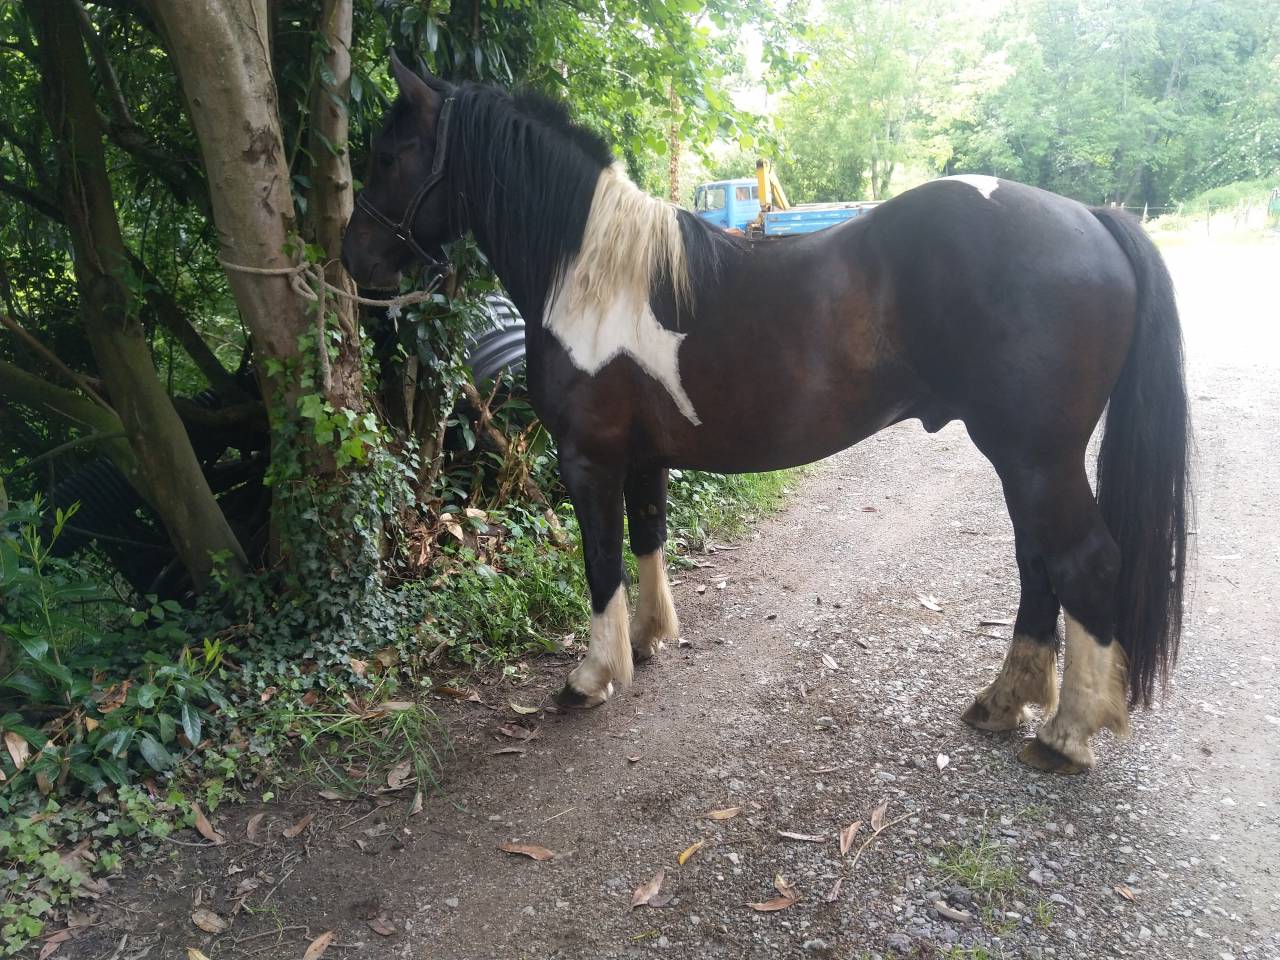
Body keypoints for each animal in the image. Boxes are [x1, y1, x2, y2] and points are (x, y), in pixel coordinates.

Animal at [342, 55, 1190, 775]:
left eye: (389, 155)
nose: (356, 261)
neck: (591, 278)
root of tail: (1091, 217)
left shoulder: (590, 459)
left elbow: (601, 563)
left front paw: (592, 676)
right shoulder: (644, 457)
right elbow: (648, 539)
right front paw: (650, 641)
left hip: (1036, 456)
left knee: (1083, 563)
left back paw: (1066, 735)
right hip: (1024, 458)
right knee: (1037, 562)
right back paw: (1004, 701)